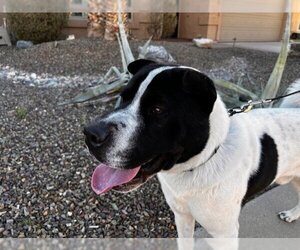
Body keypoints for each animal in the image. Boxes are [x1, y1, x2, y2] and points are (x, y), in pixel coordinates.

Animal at [83, 58, 300, 240]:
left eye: (158, 109)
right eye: (123, 98)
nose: (90, 134)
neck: (202, 162)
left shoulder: (225, 233)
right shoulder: (182, 217)